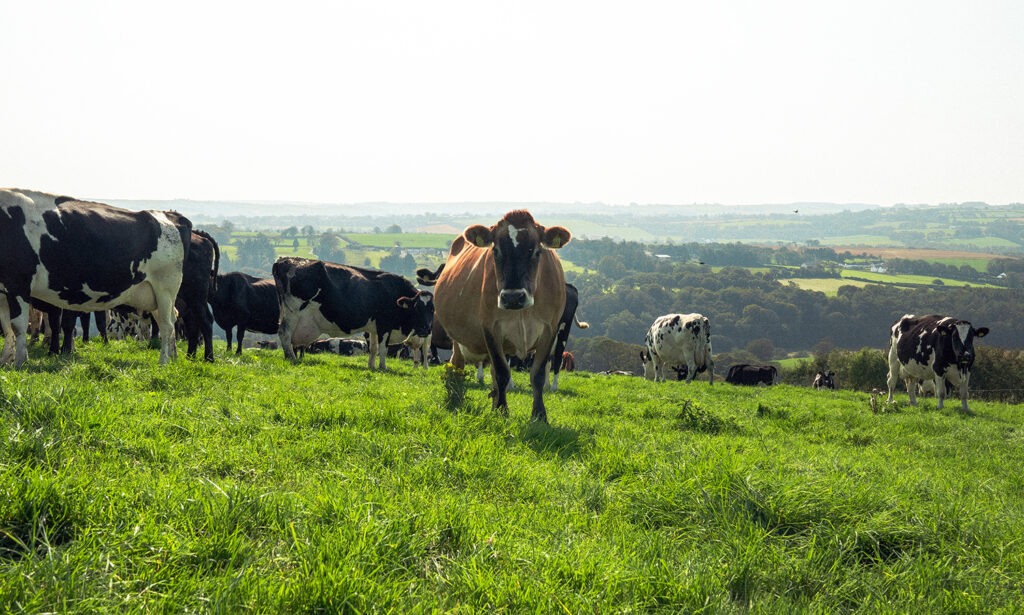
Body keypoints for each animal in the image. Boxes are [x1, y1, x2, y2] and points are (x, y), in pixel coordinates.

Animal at [0, 188, 191, 364]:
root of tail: (169, 215)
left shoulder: (19, 284)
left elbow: (17, 326)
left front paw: (20, 362)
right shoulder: (3, 292)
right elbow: (6, 325)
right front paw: (5, 360)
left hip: (165, 288)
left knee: (166, 324)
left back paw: (163, 362)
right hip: (154, 295)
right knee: (170, 318)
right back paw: (173, 357)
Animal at [272, 253, 432, 368]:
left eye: (432, 310)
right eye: (416, 308)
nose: (426, 329)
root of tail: (284, 260)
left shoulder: (373, 328)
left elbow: (373, 348)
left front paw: (371, 367)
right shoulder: (384, 326)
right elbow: (382, 349)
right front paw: (383, 367)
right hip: (293, 312)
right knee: (284, 333)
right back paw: (291, 357)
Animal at [419, 210, 573, 421]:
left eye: (536, 252)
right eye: (496, 251)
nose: (513, 297)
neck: (522, 312)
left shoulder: (550, 329)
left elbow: (538, 374)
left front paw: (539, 415)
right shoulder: (491, 329)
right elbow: (502, 373)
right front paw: (502, 411)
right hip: (457, 338)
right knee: (457, 365)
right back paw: (456, 397)